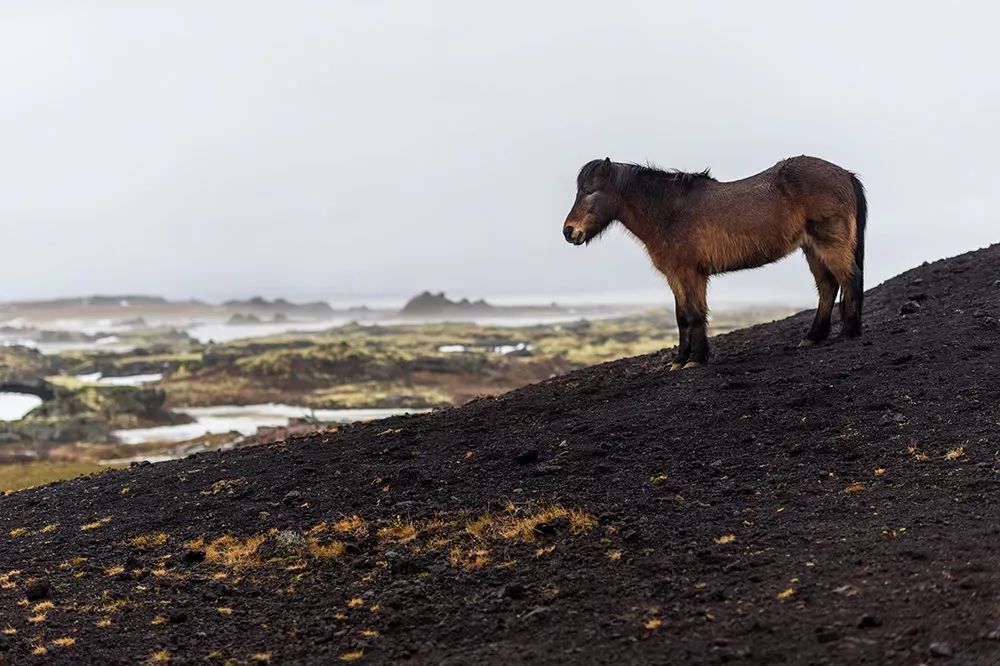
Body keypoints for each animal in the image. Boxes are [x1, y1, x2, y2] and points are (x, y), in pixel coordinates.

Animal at [564, 156, 868, 368]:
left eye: (590, 191)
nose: (569, 232)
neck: (668, 212)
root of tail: (846, 174)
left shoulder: (690, 273)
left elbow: (694, 314)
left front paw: (695, 359)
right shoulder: (677, 275)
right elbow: (682, 316)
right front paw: (680, 360)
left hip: (830, 244)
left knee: (849, 279)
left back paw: (848, 333)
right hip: (812, 248)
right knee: (828, 287)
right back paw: (813, 336)